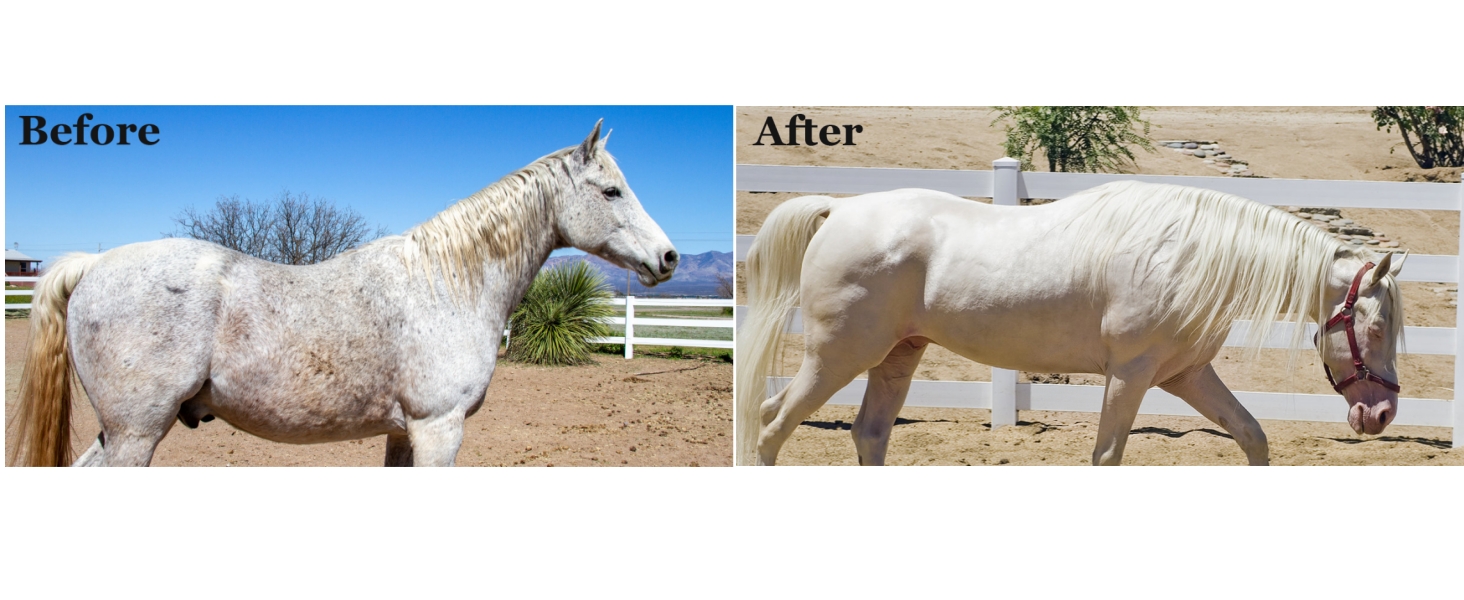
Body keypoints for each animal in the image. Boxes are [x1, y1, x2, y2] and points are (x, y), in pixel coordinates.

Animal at [8, 120, 680, 467]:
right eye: (611, 191)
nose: (669, 259)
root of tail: (95, 264)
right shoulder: (439, 430)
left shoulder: (404, 434)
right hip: (136, 433)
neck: (446, 284)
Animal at [736, 181, 1407, 466]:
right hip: (838, 357)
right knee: (770, 426)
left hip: (899, 357)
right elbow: (1106, 457)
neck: (1185, 255)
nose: (1380, 414)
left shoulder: (1186, 375)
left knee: (869, 436)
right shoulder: (1130, 377)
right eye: (1375, 329)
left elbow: (1253, 437)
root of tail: (839, 210)